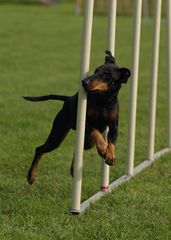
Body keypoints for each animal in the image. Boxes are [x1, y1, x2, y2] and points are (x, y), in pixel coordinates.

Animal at [24, 51, 130, 185]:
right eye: (96, 70)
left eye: (106, 75)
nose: (84, 82)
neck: (103, 100)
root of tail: (68, 99)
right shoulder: (83, 122)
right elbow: (95, 131)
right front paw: (102, 147)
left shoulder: (114, 126)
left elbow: (112, 141)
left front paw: (110, 155)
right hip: (58, 135)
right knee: (39, 149)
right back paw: (31, 176)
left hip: (86, 142)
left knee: (77, 150)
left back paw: (73, 169)